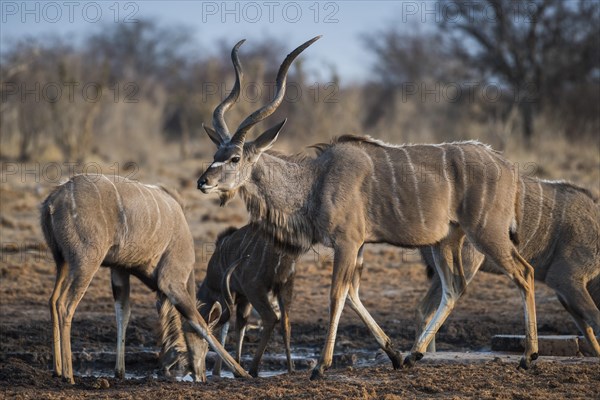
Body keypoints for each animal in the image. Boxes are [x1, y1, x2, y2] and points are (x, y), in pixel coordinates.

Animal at [40, 173, 248, 384]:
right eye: (204, 348)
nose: (202, 376)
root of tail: (53, 201)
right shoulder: (171, 282)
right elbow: (198, 321)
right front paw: (242, 372)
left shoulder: (120, 269)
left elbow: (123, 313)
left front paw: (120, 372)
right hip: (86, 261)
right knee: (65, 305)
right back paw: (69, 376)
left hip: (62, 261)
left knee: (53, 300)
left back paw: (57, 370)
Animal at [198, 225, 298, 378]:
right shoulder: (244, 299)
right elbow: (240, 327)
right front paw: (236, 366)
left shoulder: (228, 293)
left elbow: (225, 327)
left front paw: (218, 371)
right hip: (285, 287)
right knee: (285, 322)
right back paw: (290, 369)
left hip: (254, 288)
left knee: (271, 318)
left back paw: (253, 369)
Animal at [418, 178, 600, 356]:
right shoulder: (564, 279)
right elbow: (594, 318)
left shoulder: (564, 293)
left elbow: (586, 327)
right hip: (467, 263)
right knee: (426, 308)